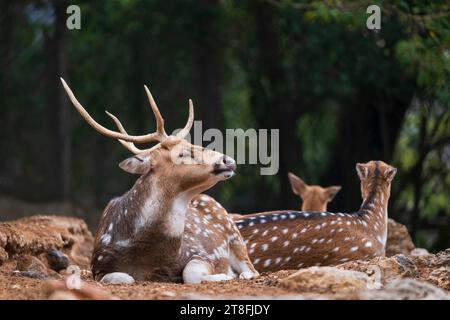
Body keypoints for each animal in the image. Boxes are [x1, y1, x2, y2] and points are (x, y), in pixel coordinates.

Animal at [60, 79, 258, 284]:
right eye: (181, 154)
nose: (229, 160)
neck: (148, 258)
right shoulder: (98, 264)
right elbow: (123, 277)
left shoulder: (200, 252)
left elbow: (191, 274)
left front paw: (223, 275)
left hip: (234, 234)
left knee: (252, 269)